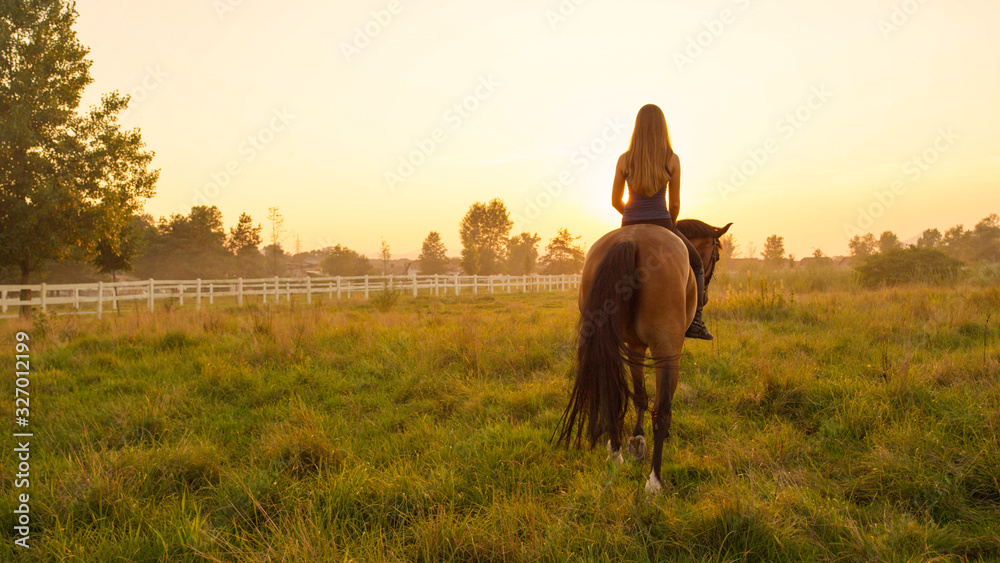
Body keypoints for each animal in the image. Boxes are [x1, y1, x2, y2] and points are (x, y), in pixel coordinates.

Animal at [560, 219, 732, 494]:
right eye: (715, 256)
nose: (704, 295)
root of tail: (629, 240)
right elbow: (657, 404)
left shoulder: (635, 345)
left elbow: (640, 396)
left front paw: (637, 439)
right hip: (666, 347)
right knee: (662, 412)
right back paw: (654, 481)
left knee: (612, 394)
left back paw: (615, 453)